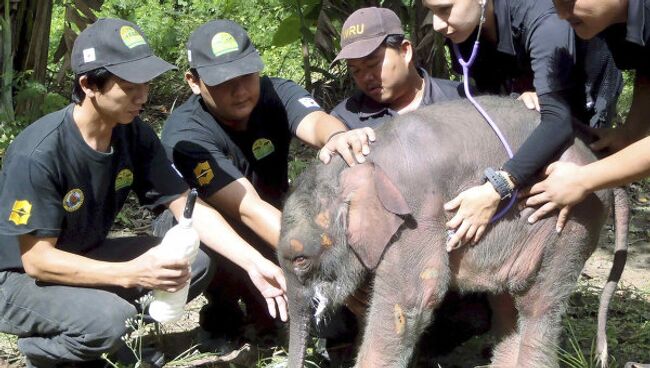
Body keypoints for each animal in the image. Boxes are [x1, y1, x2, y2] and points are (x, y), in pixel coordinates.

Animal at [276, 96, 624, 366]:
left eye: (301, 260)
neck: (359, 164)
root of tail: (596, 157)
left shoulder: (417, 214)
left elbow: (411, 300)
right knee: (508, 304)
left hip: (570, 218)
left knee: (537, 305)